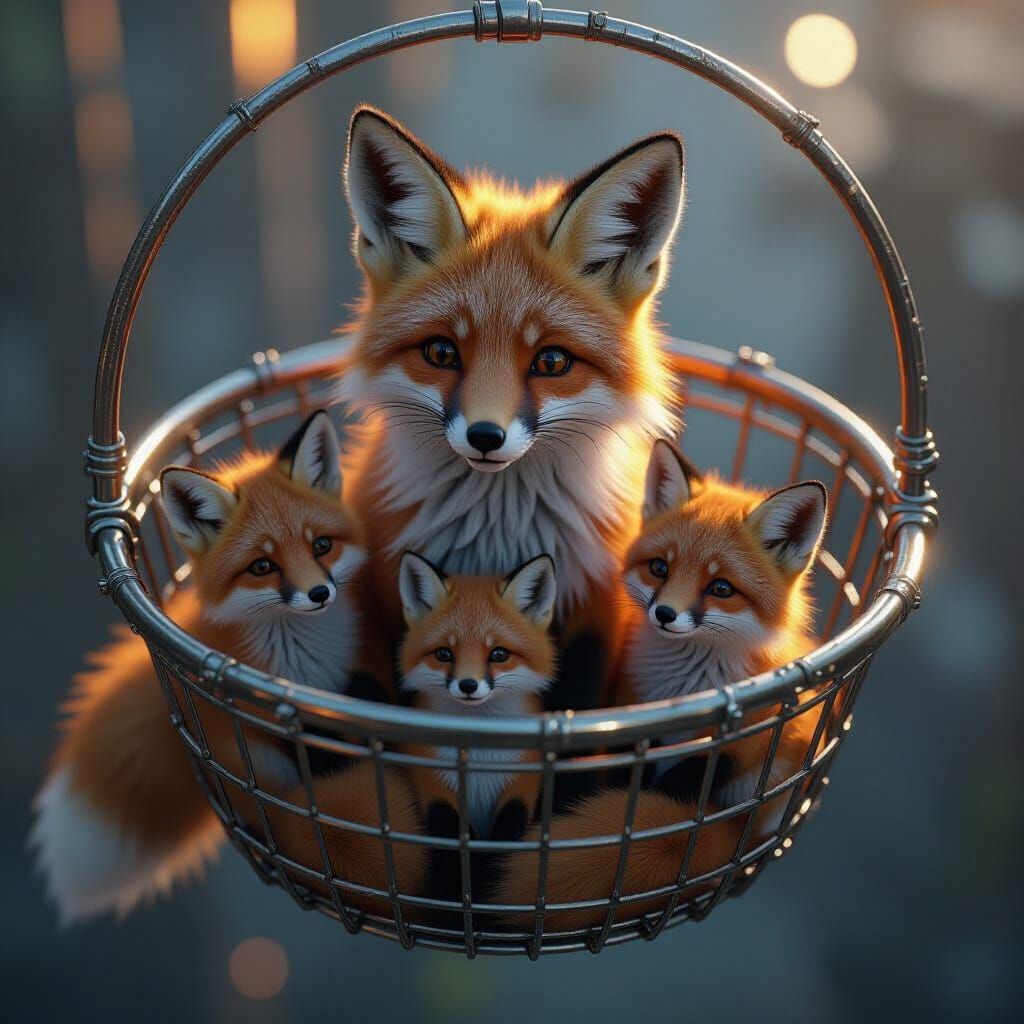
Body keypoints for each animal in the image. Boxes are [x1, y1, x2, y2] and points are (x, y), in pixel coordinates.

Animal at [335, 105, 685, 709]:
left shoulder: (596, 617)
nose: (484, 436)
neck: (495, 537)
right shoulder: (386, 609)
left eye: (552, 362)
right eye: (441, 352)